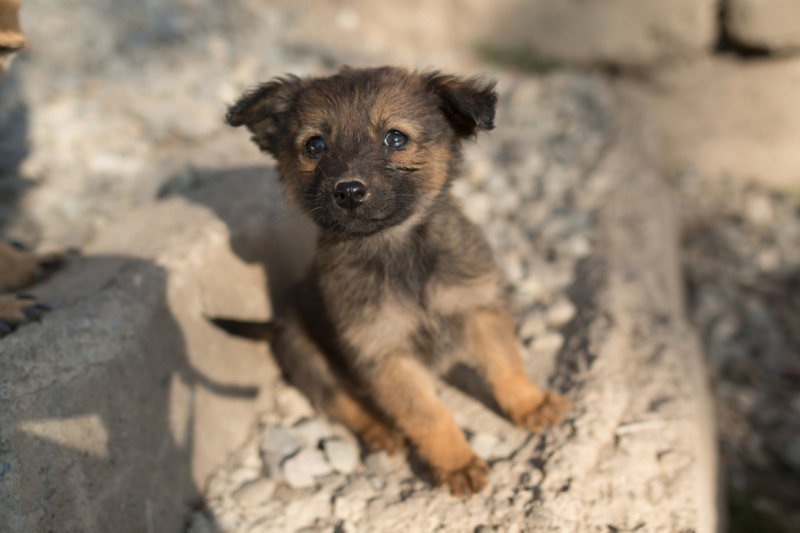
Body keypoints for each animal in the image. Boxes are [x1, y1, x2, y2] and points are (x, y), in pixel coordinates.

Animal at [219, 66, 568, 494]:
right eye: (315, 145)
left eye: (395, 138)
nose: (349, 191)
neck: (397, 250)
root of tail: (274, 325)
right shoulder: (384, 353)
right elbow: (428, 415)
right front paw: (456, 462)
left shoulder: (478, 308)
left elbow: (506, 367)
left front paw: (531, 403)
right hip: (310, 359)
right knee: (345, 405)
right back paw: (382, 431)